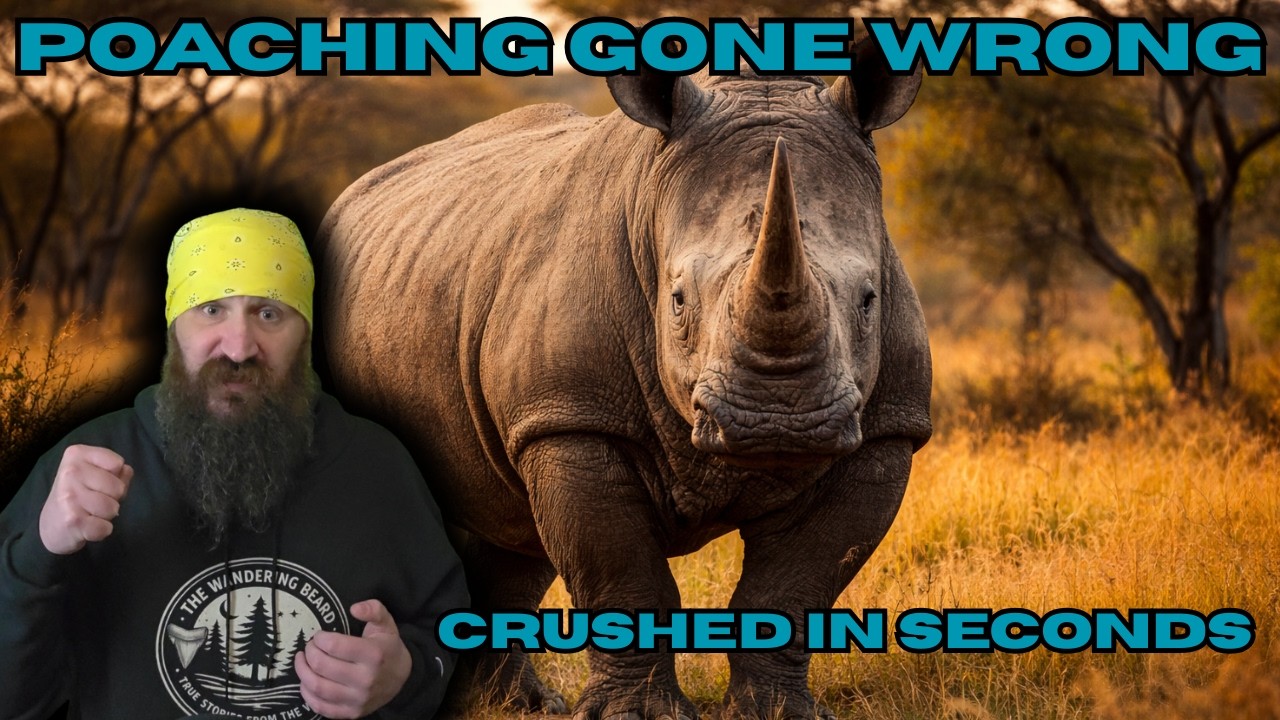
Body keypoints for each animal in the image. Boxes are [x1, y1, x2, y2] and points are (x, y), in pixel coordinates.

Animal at [318, 42, 931, 720]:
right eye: (678, 299)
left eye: (870, 299)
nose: (778, 423)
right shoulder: (571, 415)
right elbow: (620, 570)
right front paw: (637, 714)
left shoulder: (887, 430)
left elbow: (795, 586)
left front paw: (778, 712)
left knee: (513, 526)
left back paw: (521, 705)